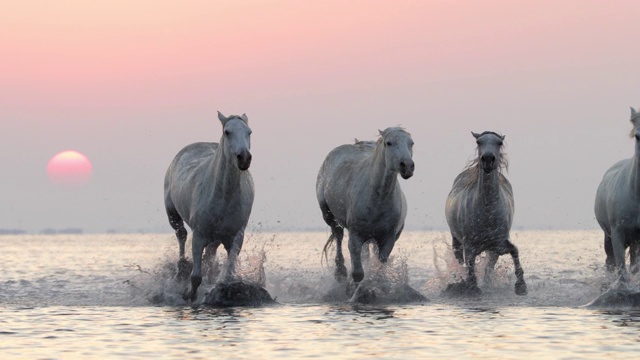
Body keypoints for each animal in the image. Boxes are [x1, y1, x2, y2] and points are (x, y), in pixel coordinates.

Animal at [164, 112, 254, 300]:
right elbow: (196, 276)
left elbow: (227, 274)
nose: (244, 158)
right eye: (227, 132)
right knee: (181, 235)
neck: (224, 197)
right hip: (172, 213)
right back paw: (180, 269)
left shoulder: (236, 237)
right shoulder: (199, 235)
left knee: (210, 253)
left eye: (249, 132)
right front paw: (189, 296)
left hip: (216, 237)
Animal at [316, 128, 416, 286]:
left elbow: (380, 267)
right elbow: (358, 273)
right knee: (338, 235)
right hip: (328, 215)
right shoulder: (355, 237)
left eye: (411, 143)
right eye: (389, 143)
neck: (377, 200)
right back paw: (340, 272)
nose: (407, 166)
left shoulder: (388, 239)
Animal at [442, 131, 528, 296]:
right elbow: (469, 267)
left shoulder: (499, 244)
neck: (487, 214)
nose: (488, 159)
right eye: (478, 142)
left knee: (489, 266)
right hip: (456, 240)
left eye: (499, 142)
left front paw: (521, 286)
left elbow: (514, 251)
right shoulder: (470, 246)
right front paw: (472, 288)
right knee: (460, 260)